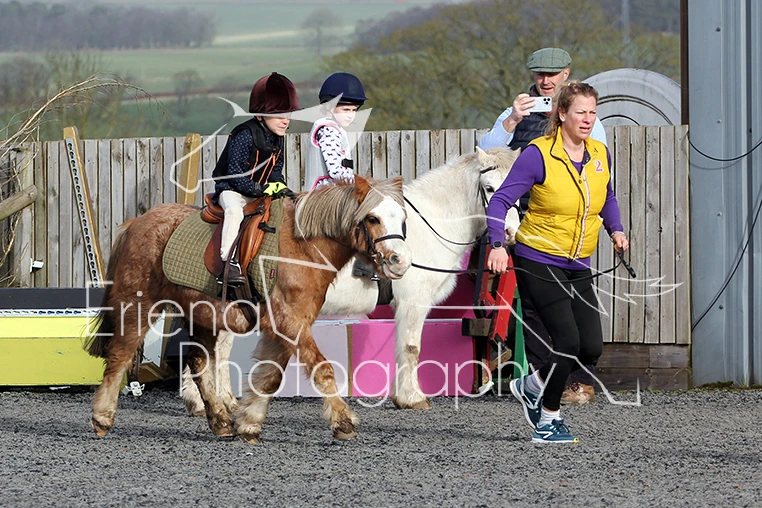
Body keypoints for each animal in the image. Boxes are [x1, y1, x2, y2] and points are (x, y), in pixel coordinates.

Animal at [85, 176, 412, 443]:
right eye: (372, 218)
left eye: (402, 219)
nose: (399, 261)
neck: (303, 247)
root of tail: (136, 223)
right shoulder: (289, 322)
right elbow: (323, 369)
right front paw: (343, 423)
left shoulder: (286, 326)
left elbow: (270, 377)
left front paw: (249, 423)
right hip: (138, 306)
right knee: (120, 355)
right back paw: (102, 417)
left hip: (202, 317)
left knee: (198, 363)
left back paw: (220, 421)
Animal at [182, 147, 520, 413]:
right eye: (490, 188)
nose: (509, 232)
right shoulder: (413, 302)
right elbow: (412, 348)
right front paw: (412, 398)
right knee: (217, 349)